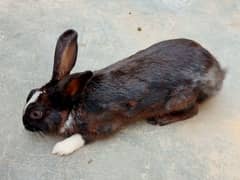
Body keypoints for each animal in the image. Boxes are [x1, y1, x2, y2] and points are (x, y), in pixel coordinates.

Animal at [22, 28, 225, 155]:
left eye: (36, 113)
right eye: (29, 93)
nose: (24, 125)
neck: (74, 105)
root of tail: (217, 70)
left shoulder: (103, 126)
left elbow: (82, 137)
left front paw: (60, 148)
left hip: (178, 100)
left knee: (193, 110)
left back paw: (161, 119)